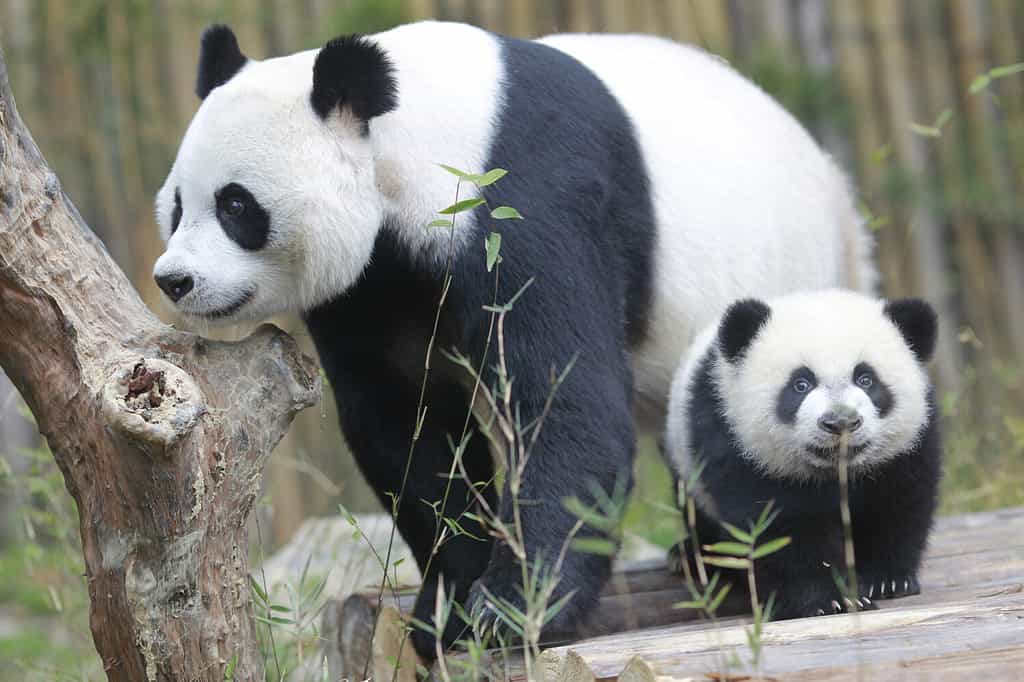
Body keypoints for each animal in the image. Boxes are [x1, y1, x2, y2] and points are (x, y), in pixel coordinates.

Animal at [151, 21, 872, 655]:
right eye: (178, 206)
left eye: (237, 205)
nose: (174, 280)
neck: (417, 135)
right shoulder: (374, 283)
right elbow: (406, 425)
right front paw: (447, 609)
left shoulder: (523, 200)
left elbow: (565, 403)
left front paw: (512, 610)